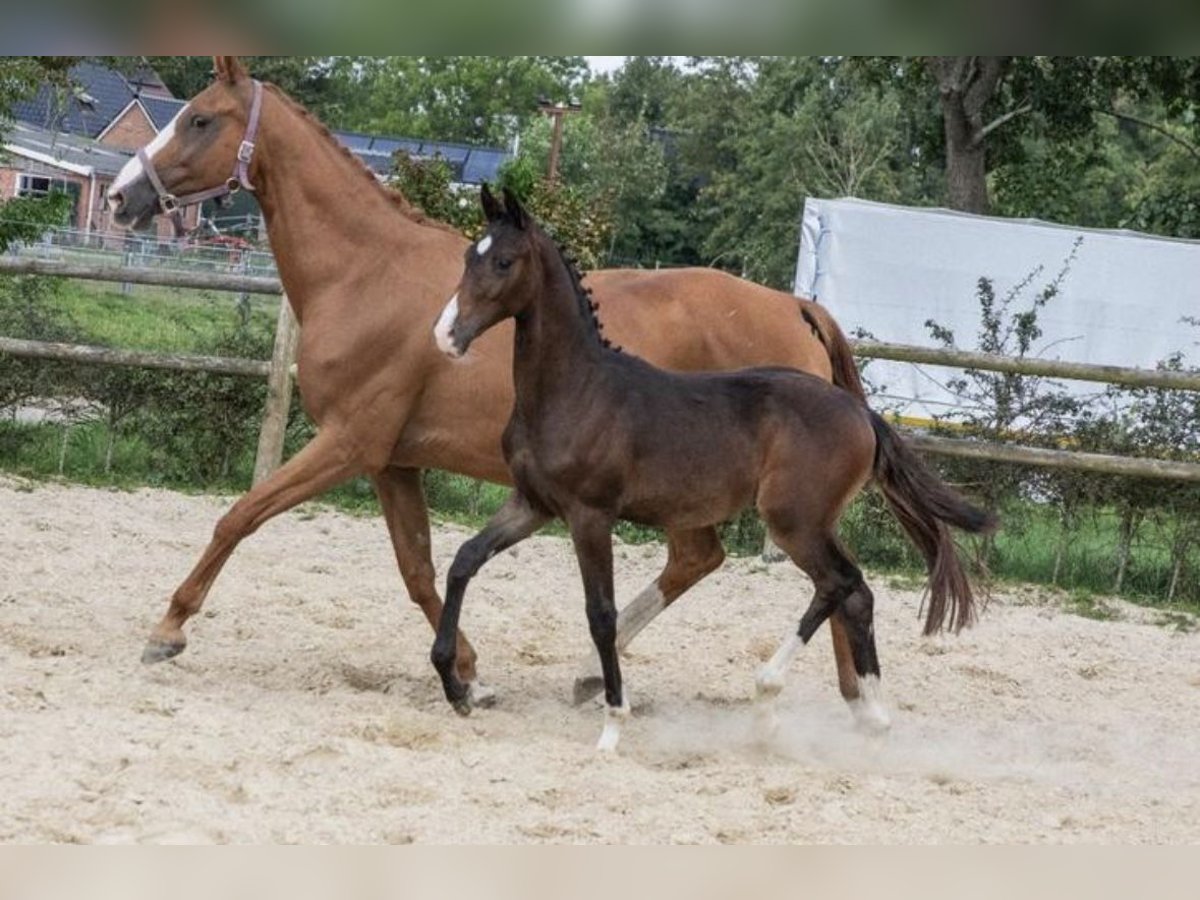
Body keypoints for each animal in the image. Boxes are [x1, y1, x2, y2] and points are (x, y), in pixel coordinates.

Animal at [105, 58, 864, 710]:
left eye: (200, 119)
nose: (119, 197)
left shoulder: (348, 443)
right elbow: (418, 568)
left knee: (813, 579)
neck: (365, 272)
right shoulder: (393, 462)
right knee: (716, 563)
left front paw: (166, 631)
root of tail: (796, 307)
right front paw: (468, 673)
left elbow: (240, 515)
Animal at [432, 190, 993, 753]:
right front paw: (454, 685)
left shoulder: (590, 515)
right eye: (469, 257)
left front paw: (613, 724)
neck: (577, 391)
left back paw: (768, 699)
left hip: (792, 522)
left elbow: (601, 614)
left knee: (839, 583)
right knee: (856, 593)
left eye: (504, 262)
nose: (445, 335)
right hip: (811, 523)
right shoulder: (533, 503)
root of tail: (863, 416)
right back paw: (872, 713)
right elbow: (463, 560)